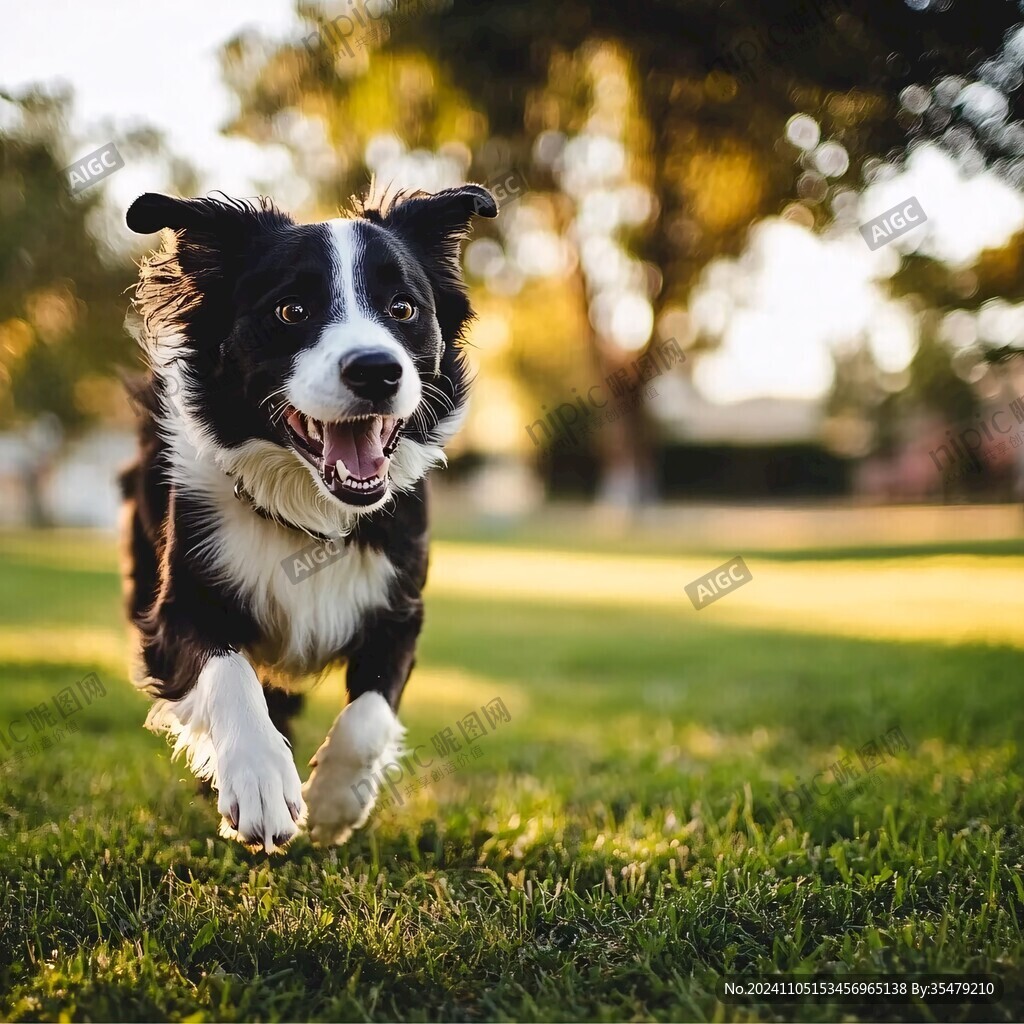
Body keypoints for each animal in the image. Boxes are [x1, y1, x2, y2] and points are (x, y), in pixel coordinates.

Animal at [119, 186, 495, 856]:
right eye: (292, 310)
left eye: (403, 307)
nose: (377, 370)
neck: (310, 510)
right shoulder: (177, 608)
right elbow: (228, 673)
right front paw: (261, 783)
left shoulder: (400, 608)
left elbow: (369, 715)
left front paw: (334, 803)